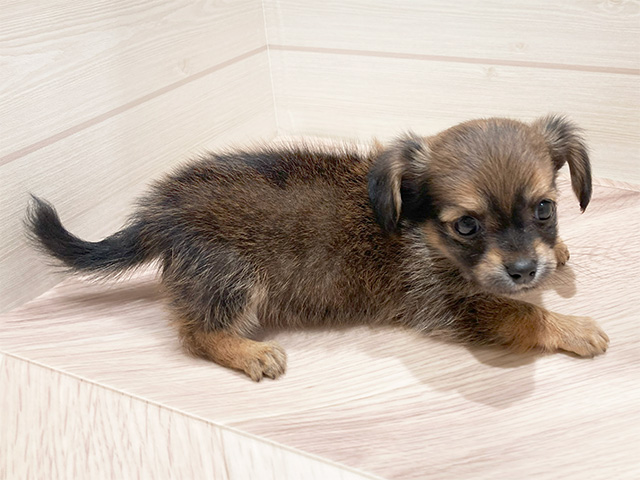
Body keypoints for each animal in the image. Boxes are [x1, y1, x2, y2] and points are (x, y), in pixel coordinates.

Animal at [26, 115, 609, 381]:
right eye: (465, 226)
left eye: (545, 209)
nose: (524, 269)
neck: (420, 232)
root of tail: (160, 211)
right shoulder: (446, 305)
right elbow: (518, 314)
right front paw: (573, 328)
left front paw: (557, 254)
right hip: (233, 276)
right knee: (195, 334)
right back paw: (248, 352)